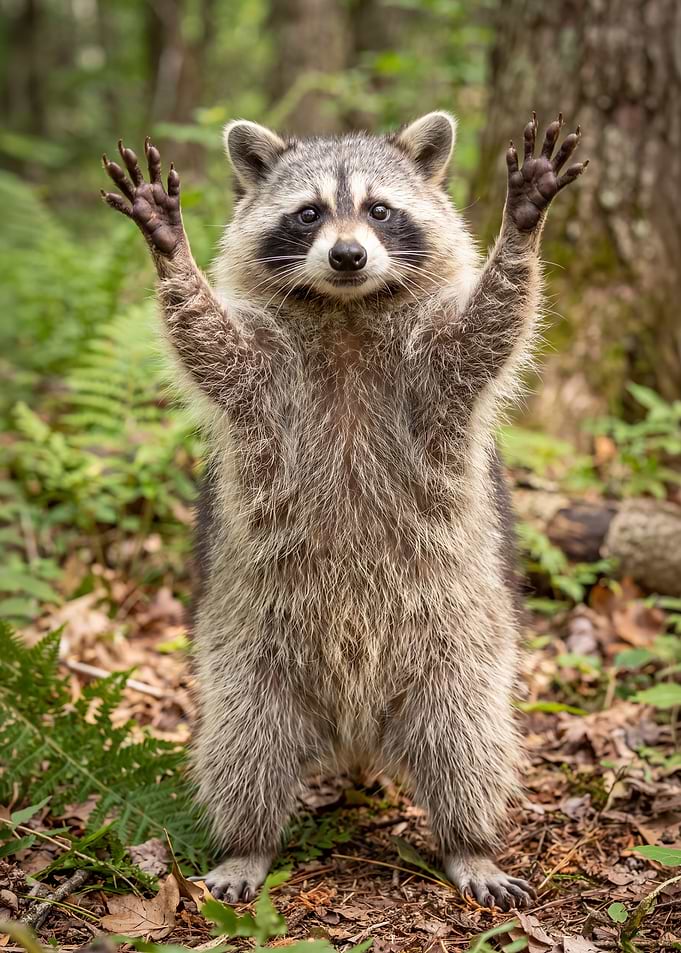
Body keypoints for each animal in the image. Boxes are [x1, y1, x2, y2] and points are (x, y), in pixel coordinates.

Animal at [101, 111, 586, 911]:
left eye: (380, 210)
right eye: (309, 214)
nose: (349, 255)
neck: (348, 310)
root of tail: (356, 729)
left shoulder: (435, 376)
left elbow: (490, 328)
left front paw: (523, 225)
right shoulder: (262, 377)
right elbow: (207, 342)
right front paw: (170, 250)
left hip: (460, 641)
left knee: (468, 741)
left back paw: (470, 842)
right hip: (247, 650)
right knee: (245, 746)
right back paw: (249, 841)